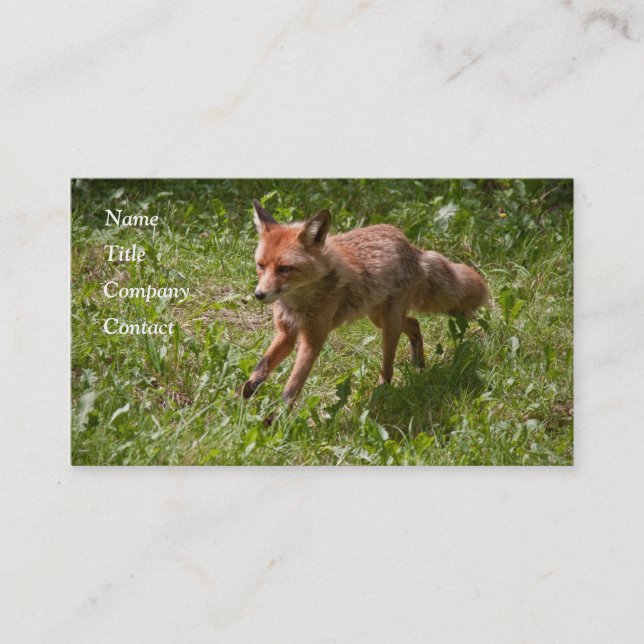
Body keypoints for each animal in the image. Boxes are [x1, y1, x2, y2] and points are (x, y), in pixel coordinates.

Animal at [241, 199, 489, 404]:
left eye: (285, 269)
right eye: (260, 265)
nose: (259, 295)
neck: (297, 303)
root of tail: (410, 245)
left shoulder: (313, 339)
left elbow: (292, 387)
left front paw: (276, 419)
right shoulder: (287, 333)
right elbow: (263, 364)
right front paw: (248, 390)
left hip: (388, 326)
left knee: (388, 367)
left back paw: (380, 392)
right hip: (378, 317)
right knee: (414, 323)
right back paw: (419, 363)